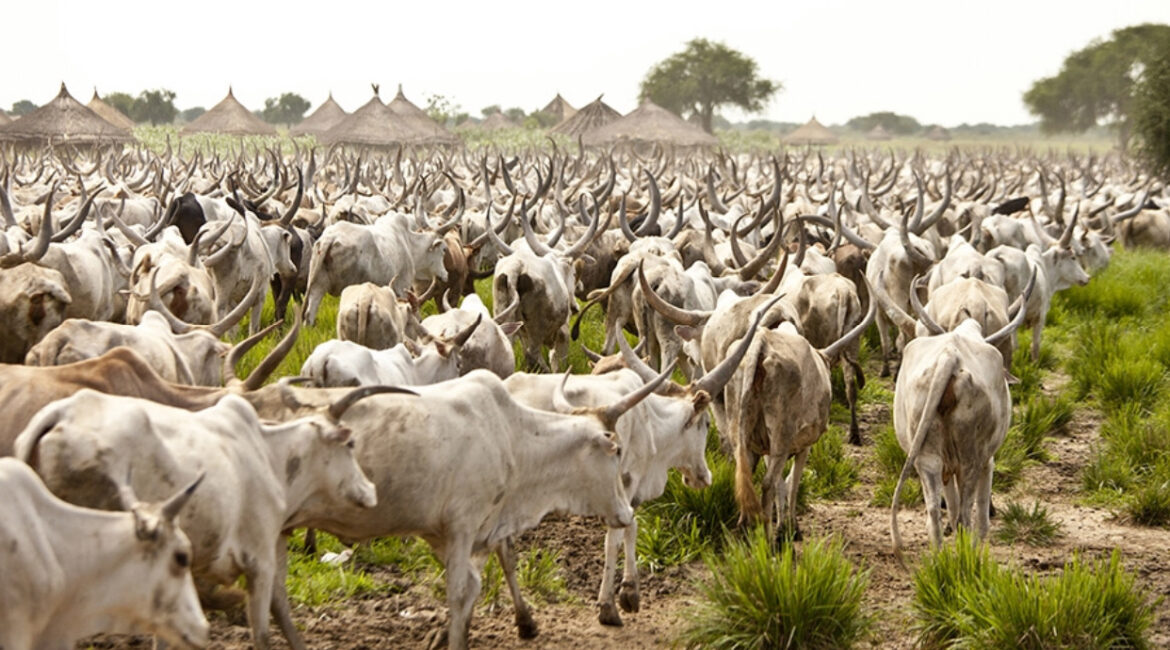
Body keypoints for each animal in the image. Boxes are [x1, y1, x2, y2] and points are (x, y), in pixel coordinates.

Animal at [890, 310, 1026, 556]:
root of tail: (949, 356)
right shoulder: (987, 461)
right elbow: (981, 513)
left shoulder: (946, 466)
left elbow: (950, 505)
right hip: (970, 459)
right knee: (965, 515)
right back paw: (967, 555)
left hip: (926, 458)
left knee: (935, 512)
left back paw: (939, 559)